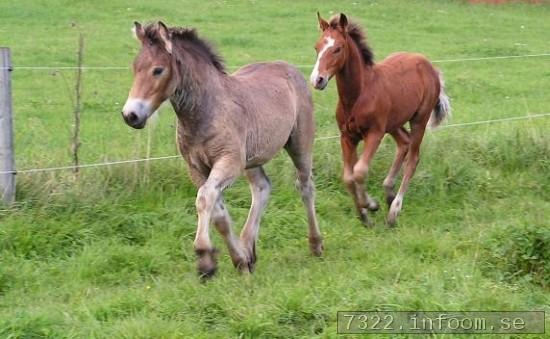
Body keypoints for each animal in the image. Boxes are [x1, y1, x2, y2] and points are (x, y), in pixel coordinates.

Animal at [123, 21, 324, 278]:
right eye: (135, 67)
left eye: (158, 70)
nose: (130, 115)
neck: (205, 111)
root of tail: (289, 67)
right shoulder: (197, 169)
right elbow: (218, 212)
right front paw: (238, 260)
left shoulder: (229, 162)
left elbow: (205, 198)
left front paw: (204, 256)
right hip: (252, 159)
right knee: (262, 188)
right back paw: (249, 248)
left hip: (300, 143)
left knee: (305, 186)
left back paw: (316, 245)